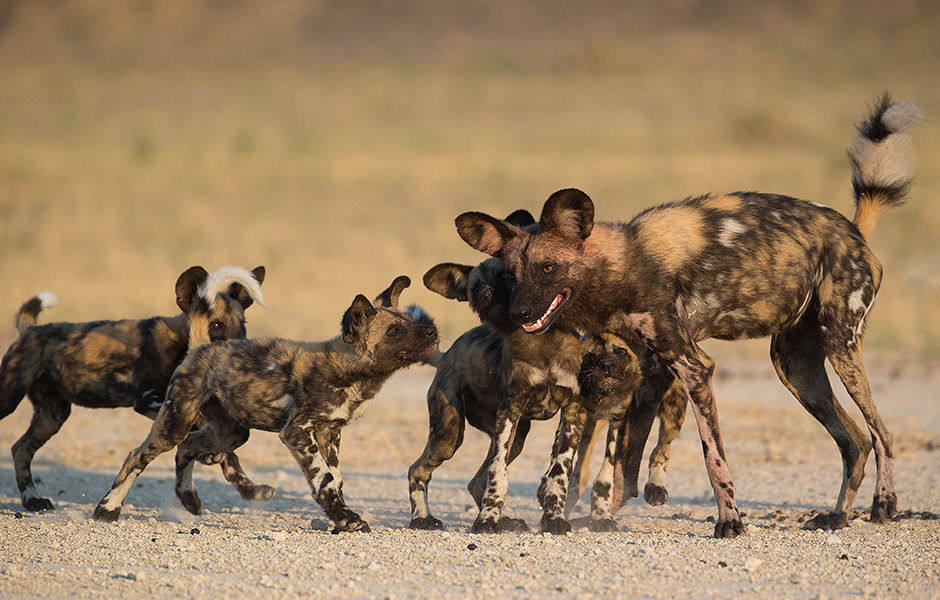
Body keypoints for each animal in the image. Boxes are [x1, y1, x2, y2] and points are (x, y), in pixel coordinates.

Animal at [0, 266, 268, 510]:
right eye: (215, 325)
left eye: (243, 324)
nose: (241, 352)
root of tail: (29, 330)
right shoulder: (151, 400)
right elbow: (200, 431)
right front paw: (212, 457)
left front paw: (249, 488)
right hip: (10, 400)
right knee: (19, 445)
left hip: (52, 416)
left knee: (21, 449)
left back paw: (33, 499)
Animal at [92, 274, 436, 532]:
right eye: (394, 331)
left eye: (409, 320)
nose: (432, 330)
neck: (350, 371)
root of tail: (203, 348)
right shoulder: (298, 433)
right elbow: (324, 480)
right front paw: (347, 520)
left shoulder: (329, 434)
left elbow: (336, 480)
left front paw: (340, 519)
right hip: (175, 422)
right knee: (138, 456)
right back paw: (107, 509)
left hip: (230, 433)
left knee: (187, 447)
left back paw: (188, 499)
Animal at [456, 96, 924, 536]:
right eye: (511, 274)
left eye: (548, 268)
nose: (519, 312)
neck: (619, 270)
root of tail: (854, 230)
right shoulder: (649, 373)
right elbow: (620, 465)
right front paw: (594, 514)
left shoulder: (693, 367)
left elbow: (712, 458)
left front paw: (730, 523)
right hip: (796, 368)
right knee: (855, 441)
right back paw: (837, 516)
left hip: (840, 345)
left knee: (881, 432)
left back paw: (883, 505)